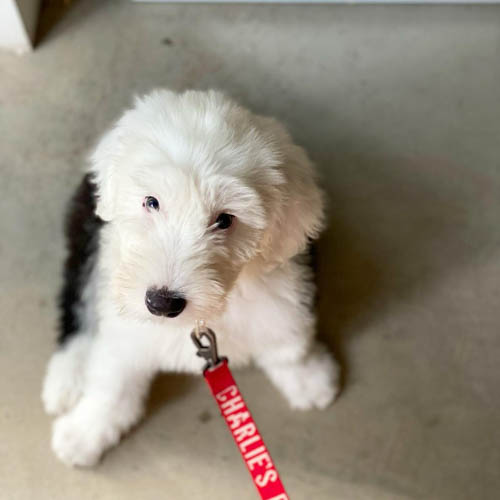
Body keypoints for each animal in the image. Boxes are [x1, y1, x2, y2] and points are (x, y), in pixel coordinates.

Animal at [42, 88, 340, 466]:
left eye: (225, 219)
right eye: (151, 202)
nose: (161, 303)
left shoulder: (285, 296)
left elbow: (288, 343)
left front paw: (310, 378)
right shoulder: (125, 330)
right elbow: (112, 381)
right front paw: (84, 432)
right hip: (88, 235)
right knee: (78, 302)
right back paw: (67, 376)